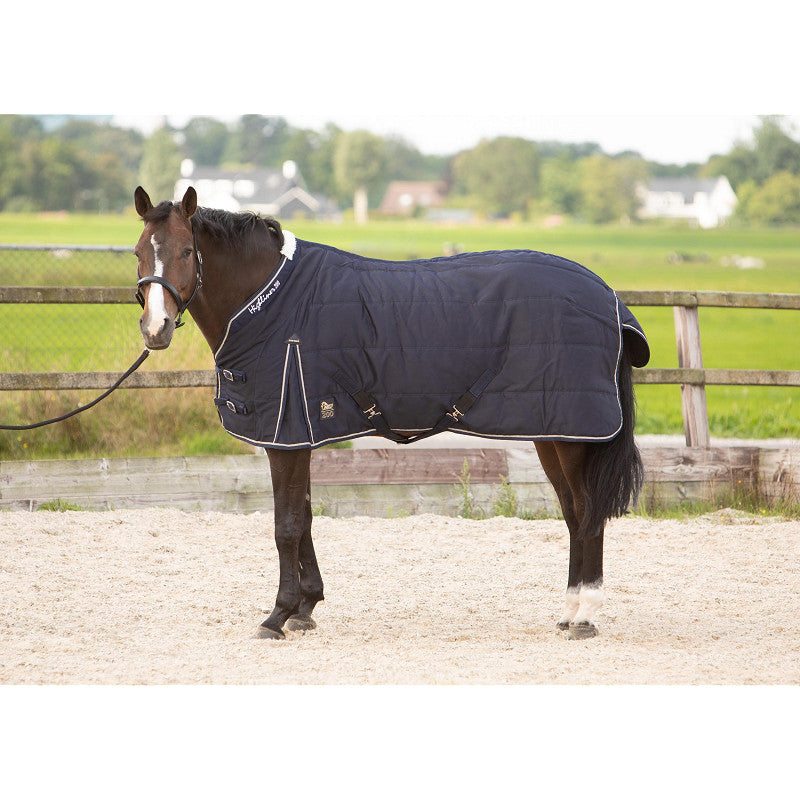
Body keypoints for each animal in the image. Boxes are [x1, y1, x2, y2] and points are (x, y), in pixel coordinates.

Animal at [133, 185, 649, 641]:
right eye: (138, 252)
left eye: (186, 251)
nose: (156, 329)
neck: (273, 302)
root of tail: (608, 297)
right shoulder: (300, 435)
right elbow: (306, 517)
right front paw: (306, 607)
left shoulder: (287, 437)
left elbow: (287, 526)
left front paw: (278, 615)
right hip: (553, 433)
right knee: (574, 514)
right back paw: (569, 613)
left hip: (574, 436)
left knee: (588, 515)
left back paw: (585, 617)